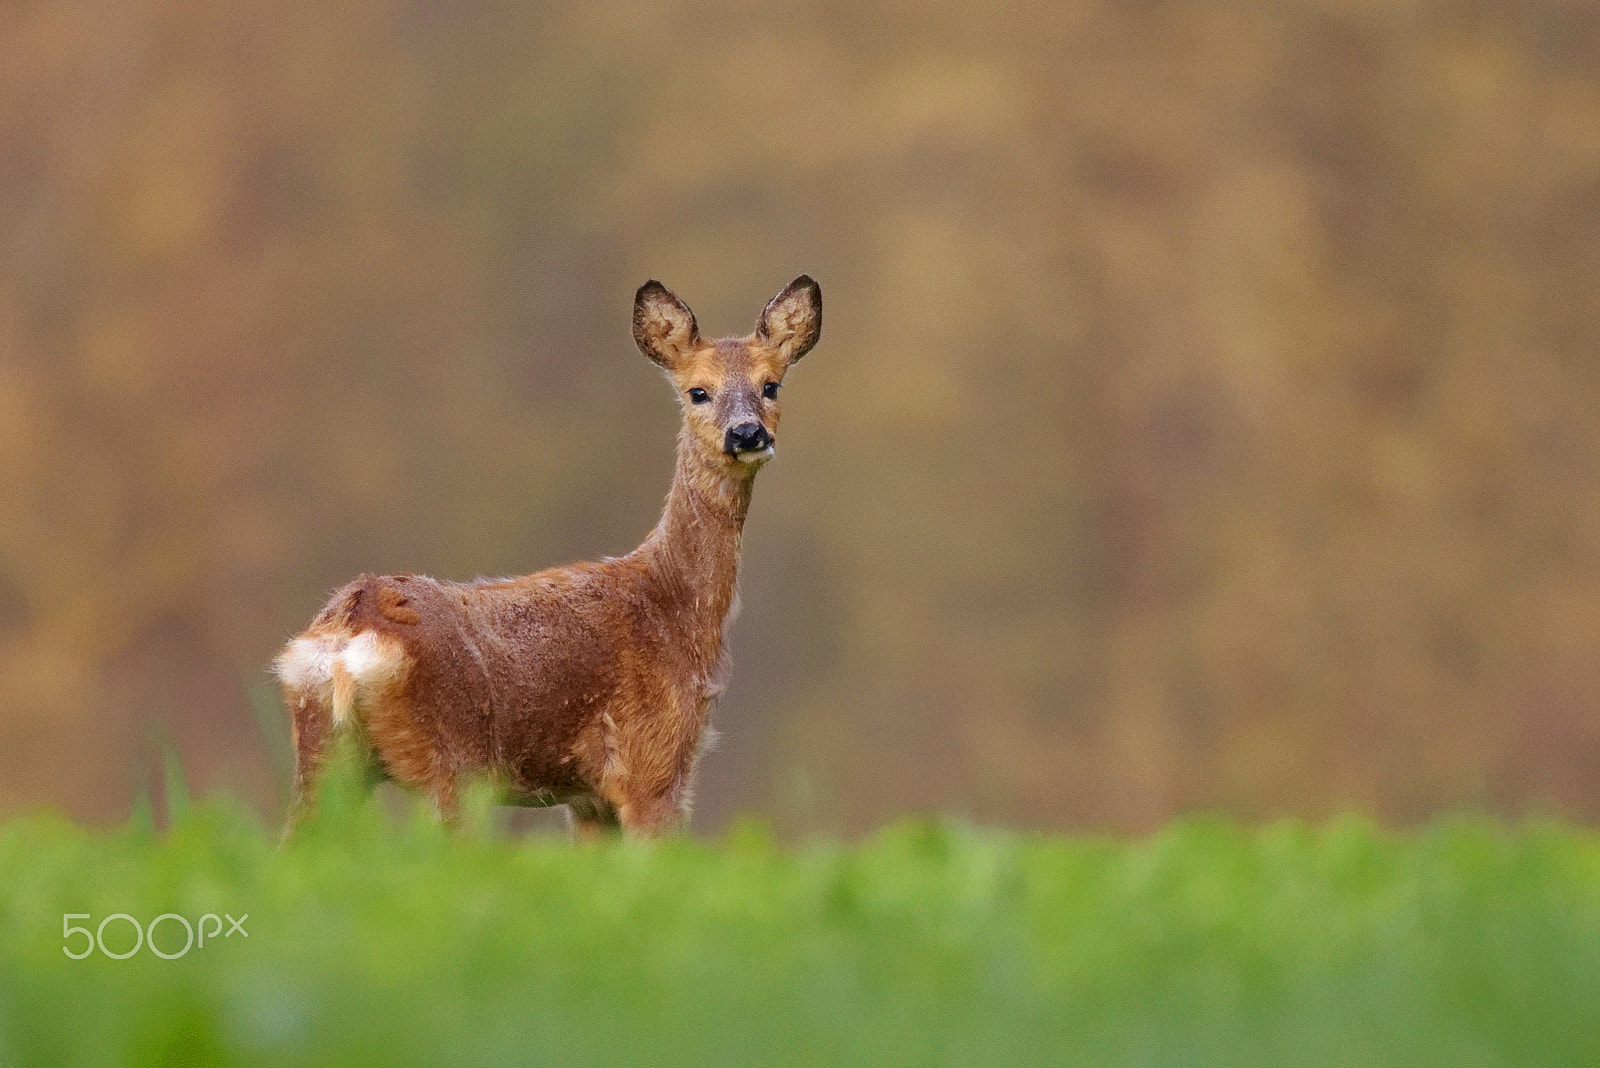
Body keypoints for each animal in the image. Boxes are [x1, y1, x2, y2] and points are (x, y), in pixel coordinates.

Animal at [273, 276, 821, 838]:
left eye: (771, 385)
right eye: (698, 391)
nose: (747, 433)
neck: (675, 608)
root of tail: (352, 631)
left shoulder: (588, 800)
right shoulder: (652, 766)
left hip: (321, 756)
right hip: (451, 764)